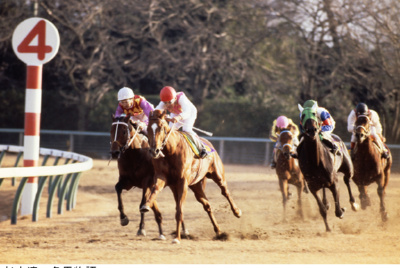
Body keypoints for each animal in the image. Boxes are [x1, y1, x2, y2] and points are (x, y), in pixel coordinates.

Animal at [139, 110, 242, 244]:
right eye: (148, 128)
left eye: (161, 127)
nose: (154, 151)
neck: (171, 151)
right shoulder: (162, 177)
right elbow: (155, 190)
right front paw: (146, 205)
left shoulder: (182, 182)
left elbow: (179, 211)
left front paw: (177, 238)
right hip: (195, 185)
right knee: (207, 205)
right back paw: (219, 232)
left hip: (217, 175)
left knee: (225, 192)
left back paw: (237, 212)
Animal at [296, 103, 360, 231]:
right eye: (303, 116)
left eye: (314, 114)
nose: (312, 130)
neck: (315, 161)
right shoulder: (313, 187)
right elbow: (322, 209)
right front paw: (328, 229)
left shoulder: (334, 182)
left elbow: (338, 210)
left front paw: (342, 210)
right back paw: (327, 203)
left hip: (348, 168)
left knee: (347, 179)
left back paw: (354, 204)